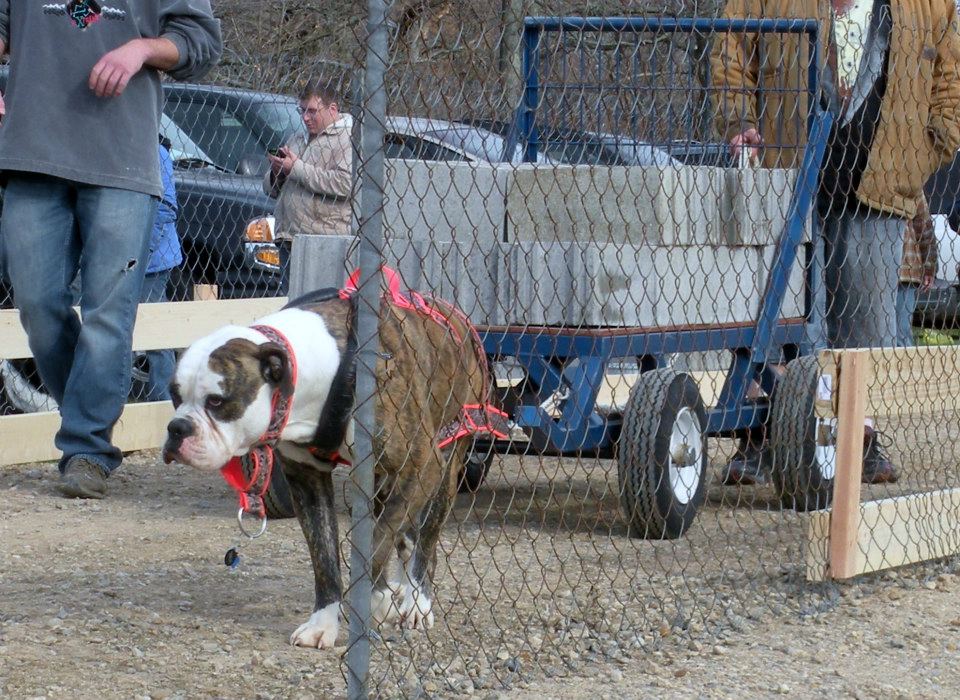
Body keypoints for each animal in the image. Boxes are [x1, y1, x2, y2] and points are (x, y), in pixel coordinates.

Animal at [162, 288, 488, 644]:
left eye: (217, 401)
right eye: (175, 395)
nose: (176, 428)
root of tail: (456, 314)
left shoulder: (421, 465)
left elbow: (377, 541)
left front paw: (377, 598)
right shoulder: (308, 482)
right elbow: (326, 559)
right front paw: (324, 623)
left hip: (446, 464)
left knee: (425, 538)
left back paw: (417, 600)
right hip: (382, 481)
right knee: (405, 534)